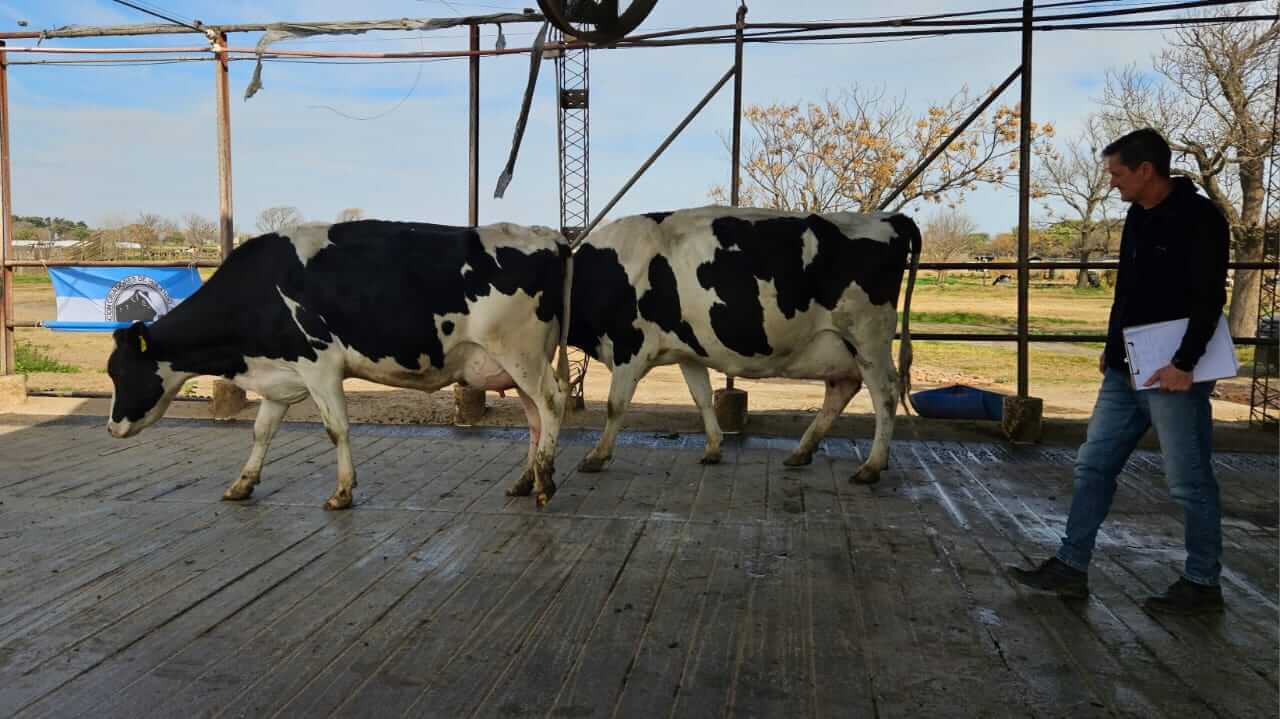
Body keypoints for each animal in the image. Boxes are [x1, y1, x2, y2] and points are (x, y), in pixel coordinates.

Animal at [106, 220, 570, 509]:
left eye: (122, 373)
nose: (112, 427)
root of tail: (548, 235)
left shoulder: (320, 365)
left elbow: (337, 429)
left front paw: (343, 492)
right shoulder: (281, 376)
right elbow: (262, 431)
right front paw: (242, 484)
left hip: (521, 353)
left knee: (552, 402)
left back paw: (547, 481)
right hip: (514, 363)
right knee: (534, 416)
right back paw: (525, 481)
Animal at [566, 205, 920, 485]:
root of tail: (891, 217)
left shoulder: (630, 346)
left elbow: (615, 405)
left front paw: (596, 456)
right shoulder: (688, 351)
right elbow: (701, 397)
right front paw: (713, 448)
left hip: (866, 336)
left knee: (885, 392)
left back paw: (871, 466)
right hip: (839, 343)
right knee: (842, 388)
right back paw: (802, 451)